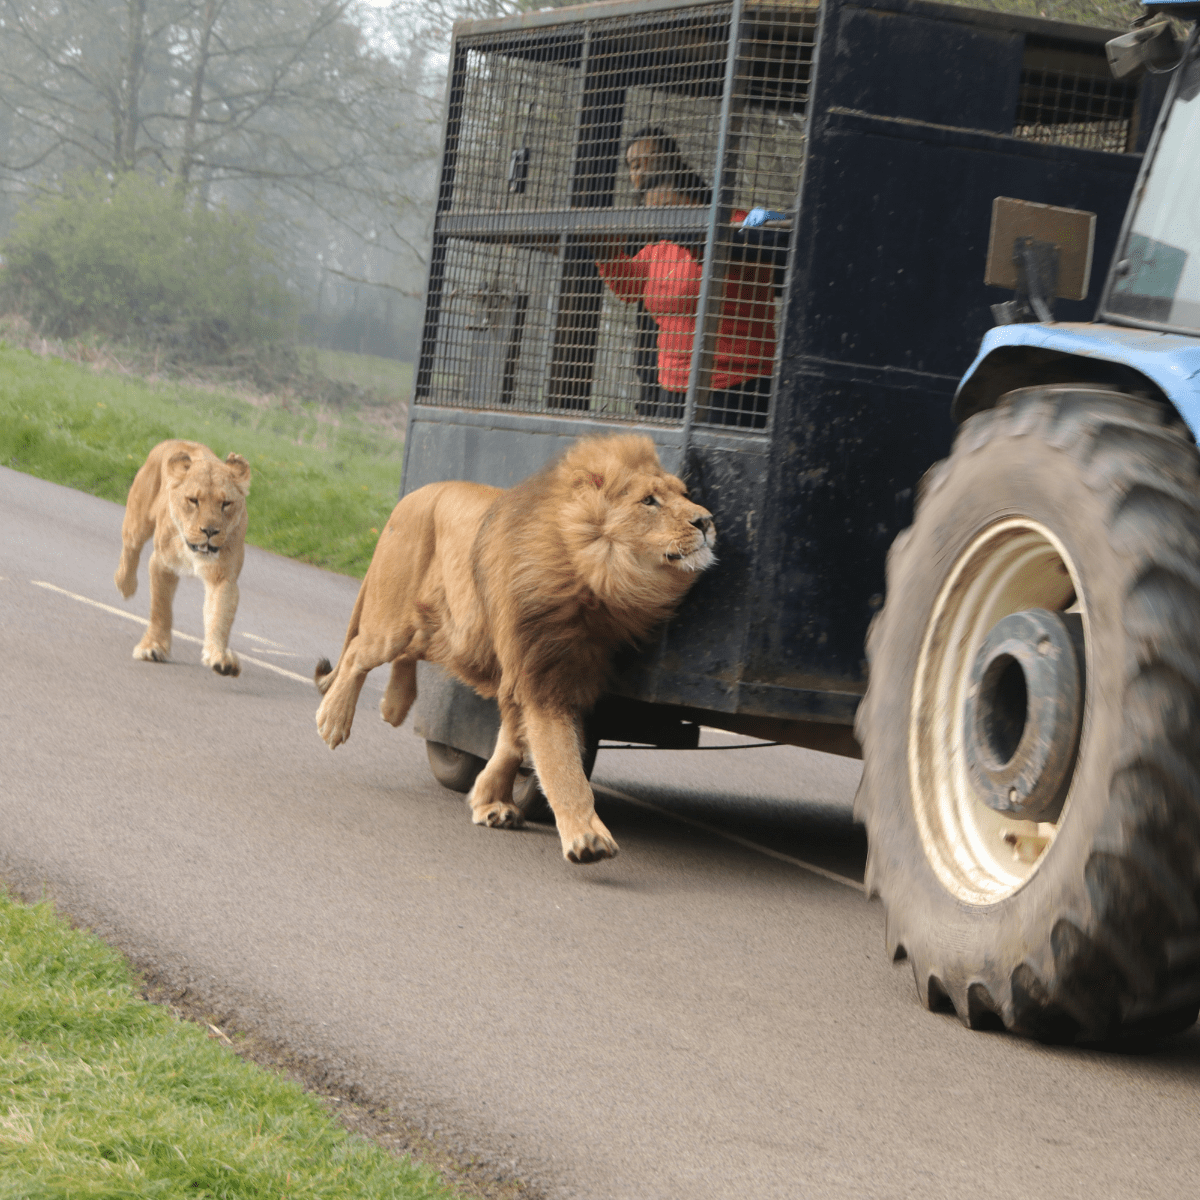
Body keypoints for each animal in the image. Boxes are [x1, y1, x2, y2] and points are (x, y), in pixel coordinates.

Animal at [114, 439, 251, 676]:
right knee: (130, 550)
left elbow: (219, 617)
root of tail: (175, 441)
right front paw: (153, 647)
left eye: (226, 503)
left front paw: (220, 658)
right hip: (137, 521)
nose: (210, 531)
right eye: (193, 500)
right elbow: (160, 609)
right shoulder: (162, 564)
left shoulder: (223, 577)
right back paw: (125, 585)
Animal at [314, 434, 716, 864]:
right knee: (358, 652)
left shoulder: (549, 667)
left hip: (450, 630)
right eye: (649, 501)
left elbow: (514, 741)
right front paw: (586, 837)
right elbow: (560, 760)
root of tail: (411, 496)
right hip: (394, 621)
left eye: (684, 494)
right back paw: (334, 720)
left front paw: (489, 801)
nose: (707, 522)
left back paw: (394, 704)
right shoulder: (541, 670)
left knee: (407, 653)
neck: (597, 575)